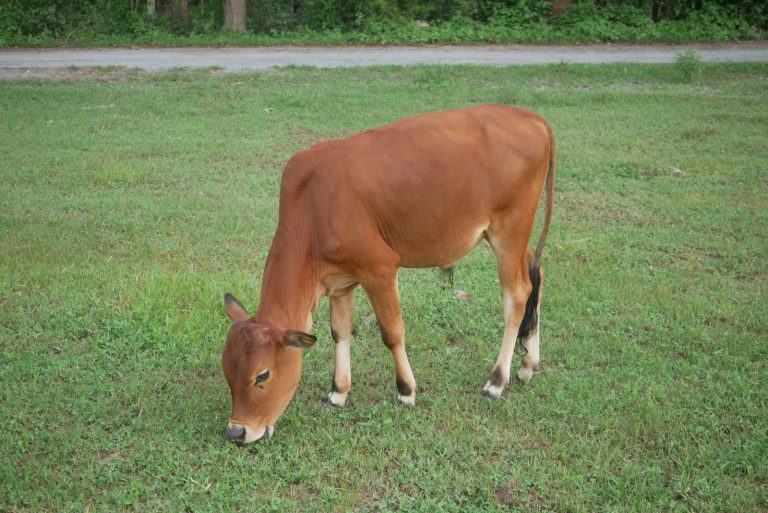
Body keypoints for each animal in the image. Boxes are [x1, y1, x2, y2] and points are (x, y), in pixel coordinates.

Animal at [221, 104, 555, 444]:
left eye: (262, 375)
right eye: (227, 371)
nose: (237, 431)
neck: (311, 210)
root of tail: (529, 116)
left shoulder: (379, 270)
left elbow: (392, 333)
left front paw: (406, 391)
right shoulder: (341, 283)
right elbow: (340, 332)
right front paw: (338, 391)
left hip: (509, 230)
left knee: (517, 295)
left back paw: (496, 381)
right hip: (513, 238)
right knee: (536, 275)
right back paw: (528, 363)